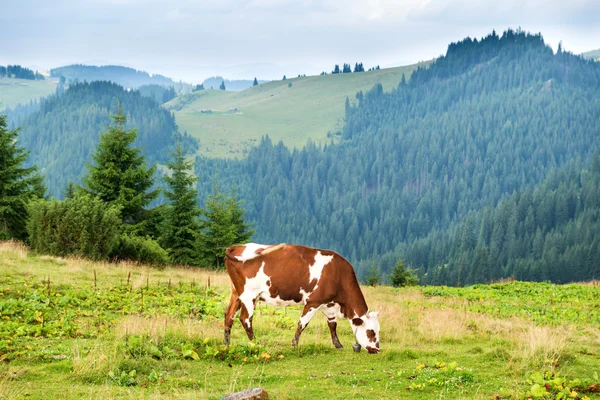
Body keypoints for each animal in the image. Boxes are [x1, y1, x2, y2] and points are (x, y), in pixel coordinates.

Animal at [220, 244, 380, 354]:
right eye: (371, 332)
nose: (377, 349)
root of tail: (237, 247)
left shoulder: (328, 304)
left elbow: (332, 324)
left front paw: (338, 344)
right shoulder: (313, 302)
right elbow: (302, 323)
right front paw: (294, 344)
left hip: (236, 294)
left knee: (229, 316)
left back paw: (227, 344)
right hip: (249, 296)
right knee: (245, 319)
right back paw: (256, 343)